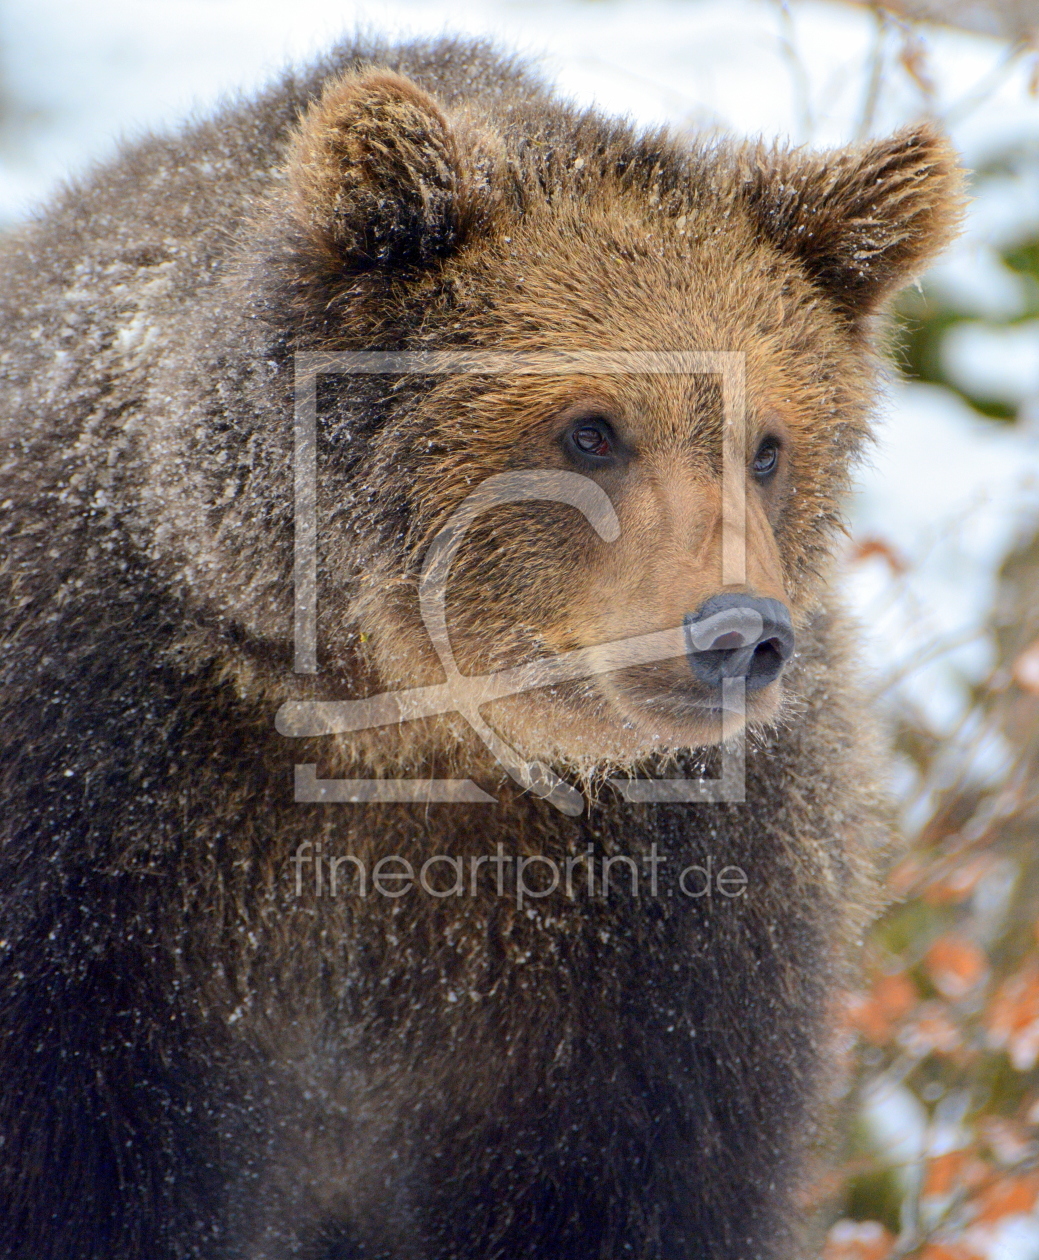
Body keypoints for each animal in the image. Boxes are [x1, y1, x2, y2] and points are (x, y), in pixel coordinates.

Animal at [0, 27, 957, 1260]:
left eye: (766, 445)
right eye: (591, 430)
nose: (739, 630)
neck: (403, 728)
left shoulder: (657, 939)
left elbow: (641, 1175)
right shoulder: (105, 824)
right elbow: (90, 1161)